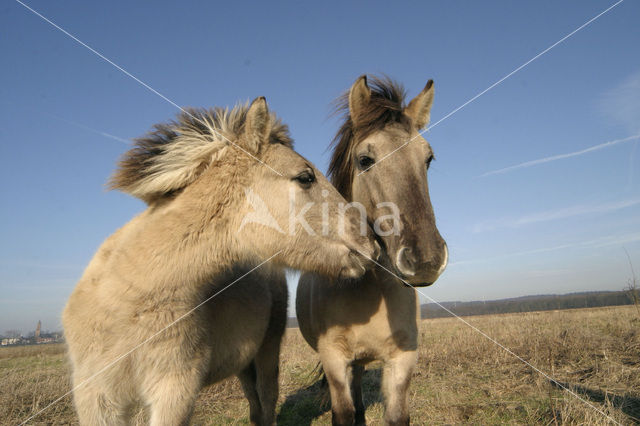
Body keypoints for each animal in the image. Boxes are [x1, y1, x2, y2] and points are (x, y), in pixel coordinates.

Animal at [62, 98, 378, 424]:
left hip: (266, 353)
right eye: (305, 177)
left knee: (267, 401)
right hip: (242, 365)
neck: (126, 302)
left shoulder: (174, 392)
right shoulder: (96, 399)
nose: (371, 243)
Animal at [298, 77, 448, 426]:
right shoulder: (335, 361)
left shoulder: (402, 360)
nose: (425, 259)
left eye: (428, 158)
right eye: (365, 160)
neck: (369, 287)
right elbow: (345, 414)